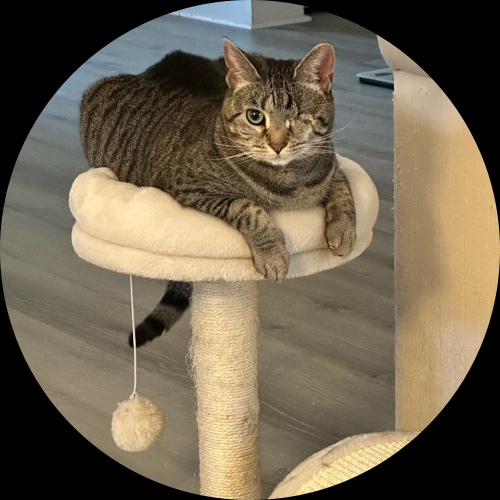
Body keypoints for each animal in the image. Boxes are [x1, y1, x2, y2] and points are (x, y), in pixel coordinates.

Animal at [80, 38, 356, 347]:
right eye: (255, 116)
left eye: (298, 118)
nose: (277, 145)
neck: (288, 181)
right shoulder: (190, 188)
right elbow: (248, 207)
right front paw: (273, 254)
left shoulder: (332, 165)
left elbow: (344, 190)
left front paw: (343, 231)